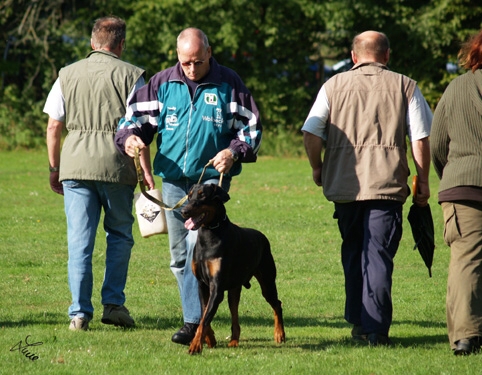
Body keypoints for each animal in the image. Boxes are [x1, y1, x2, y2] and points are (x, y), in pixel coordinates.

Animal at [183, 184, 284, 356]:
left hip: (267, 282)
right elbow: (204, 315)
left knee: (277, 303)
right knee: (235, 313)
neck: (209, 232)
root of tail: (262, 236)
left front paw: (196, 345)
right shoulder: (202, 285)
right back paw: (234, 341)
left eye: (202, 195)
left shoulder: (216, 288)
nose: (184, 211)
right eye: (190, 195)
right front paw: (210, 340)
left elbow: (204, 319)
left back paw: (279, 334)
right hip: (234, 289)